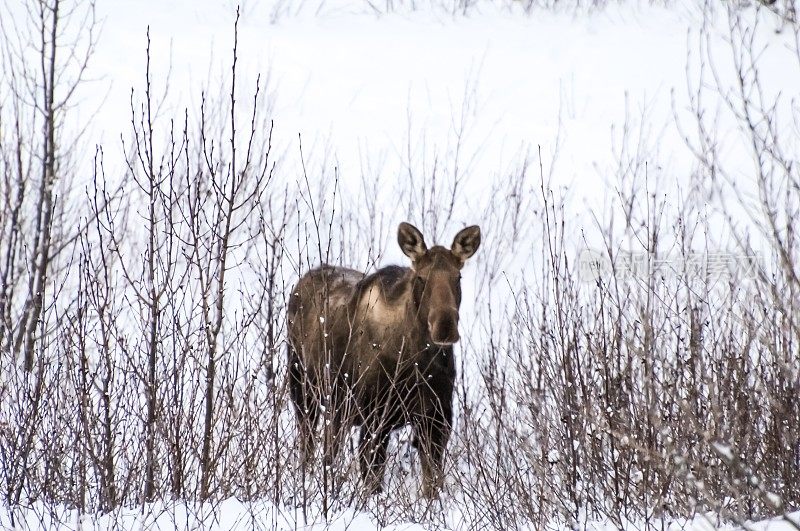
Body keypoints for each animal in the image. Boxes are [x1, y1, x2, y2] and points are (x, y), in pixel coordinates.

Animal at [288, 220, 482, 498]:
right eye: (421, 278)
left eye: (458, 277)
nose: (445, 328)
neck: (418, 361)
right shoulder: (374, 419)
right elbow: (373, 482)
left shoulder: (437, 419)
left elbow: (433, 485)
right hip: (303, 391)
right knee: (309, 444)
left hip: (336, 409)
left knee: (330, 449)